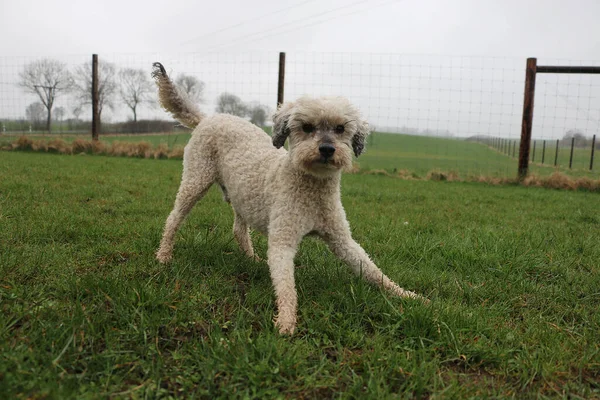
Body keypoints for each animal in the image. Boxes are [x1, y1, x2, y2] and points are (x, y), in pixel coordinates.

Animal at [152, 61, 424, 332]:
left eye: (340, 128)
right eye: (307, 127)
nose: (327, 149)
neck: (312, 192)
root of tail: (208, 117)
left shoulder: (342, 239)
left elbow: (371, 270)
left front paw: (408, 295)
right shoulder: (283, 240)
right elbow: (285, 284)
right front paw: (286, 320)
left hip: (241, 195)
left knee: (239, 229)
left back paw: (251, 258)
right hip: (195, 180)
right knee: (173, 218)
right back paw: (164, 256)